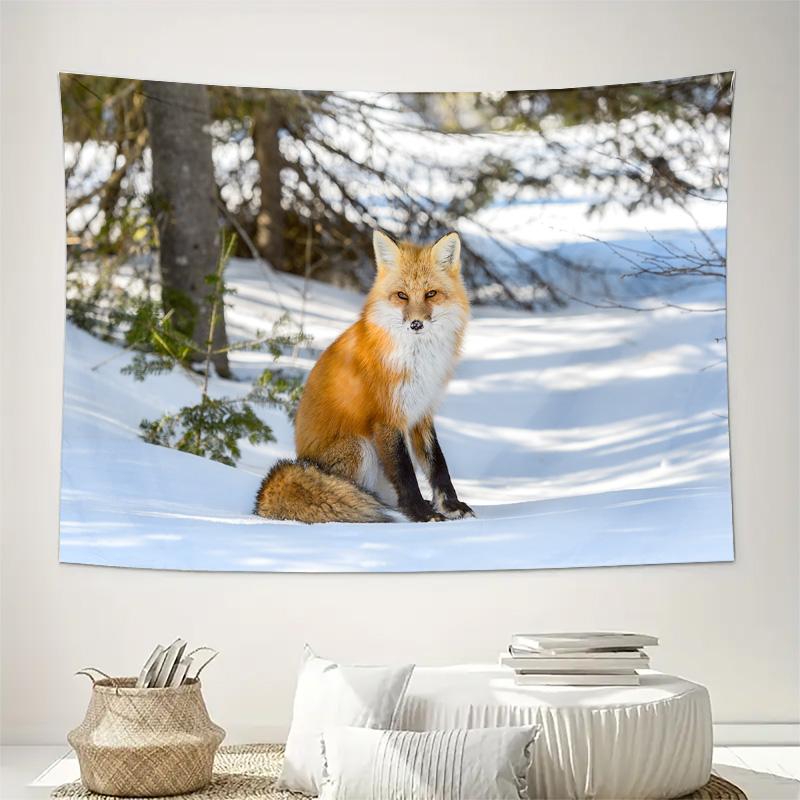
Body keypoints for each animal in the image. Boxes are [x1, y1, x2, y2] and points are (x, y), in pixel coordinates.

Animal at [254, 229, 474, 524]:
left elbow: (438, 466)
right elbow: (406, 475)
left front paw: (449, 506)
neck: (417, 360)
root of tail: (302, 460)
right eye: (402, 295)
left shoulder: (422, 412)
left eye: (431, 294)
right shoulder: (387, 417)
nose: (416, 324)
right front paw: (421, 513)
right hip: (360, 447)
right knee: (360, 492)